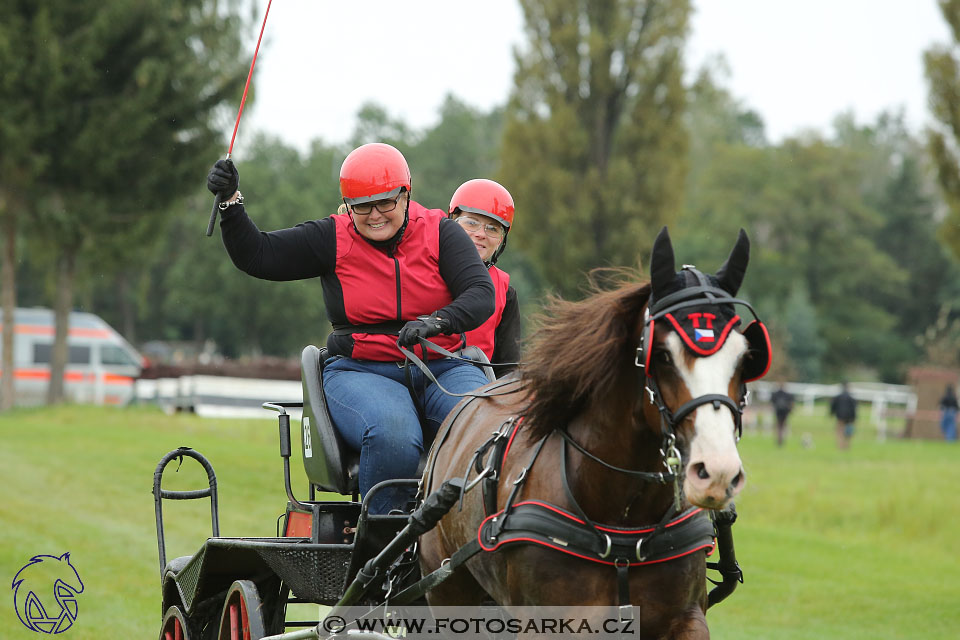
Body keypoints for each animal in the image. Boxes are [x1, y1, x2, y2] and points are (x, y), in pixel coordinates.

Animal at [420, 228, 772, 636]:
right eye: (662, 355)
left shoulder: (685, 616)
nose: (716, 472)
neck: (621, 518)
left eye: (745, 357)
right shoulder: (548, 622)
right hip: (447, 590)